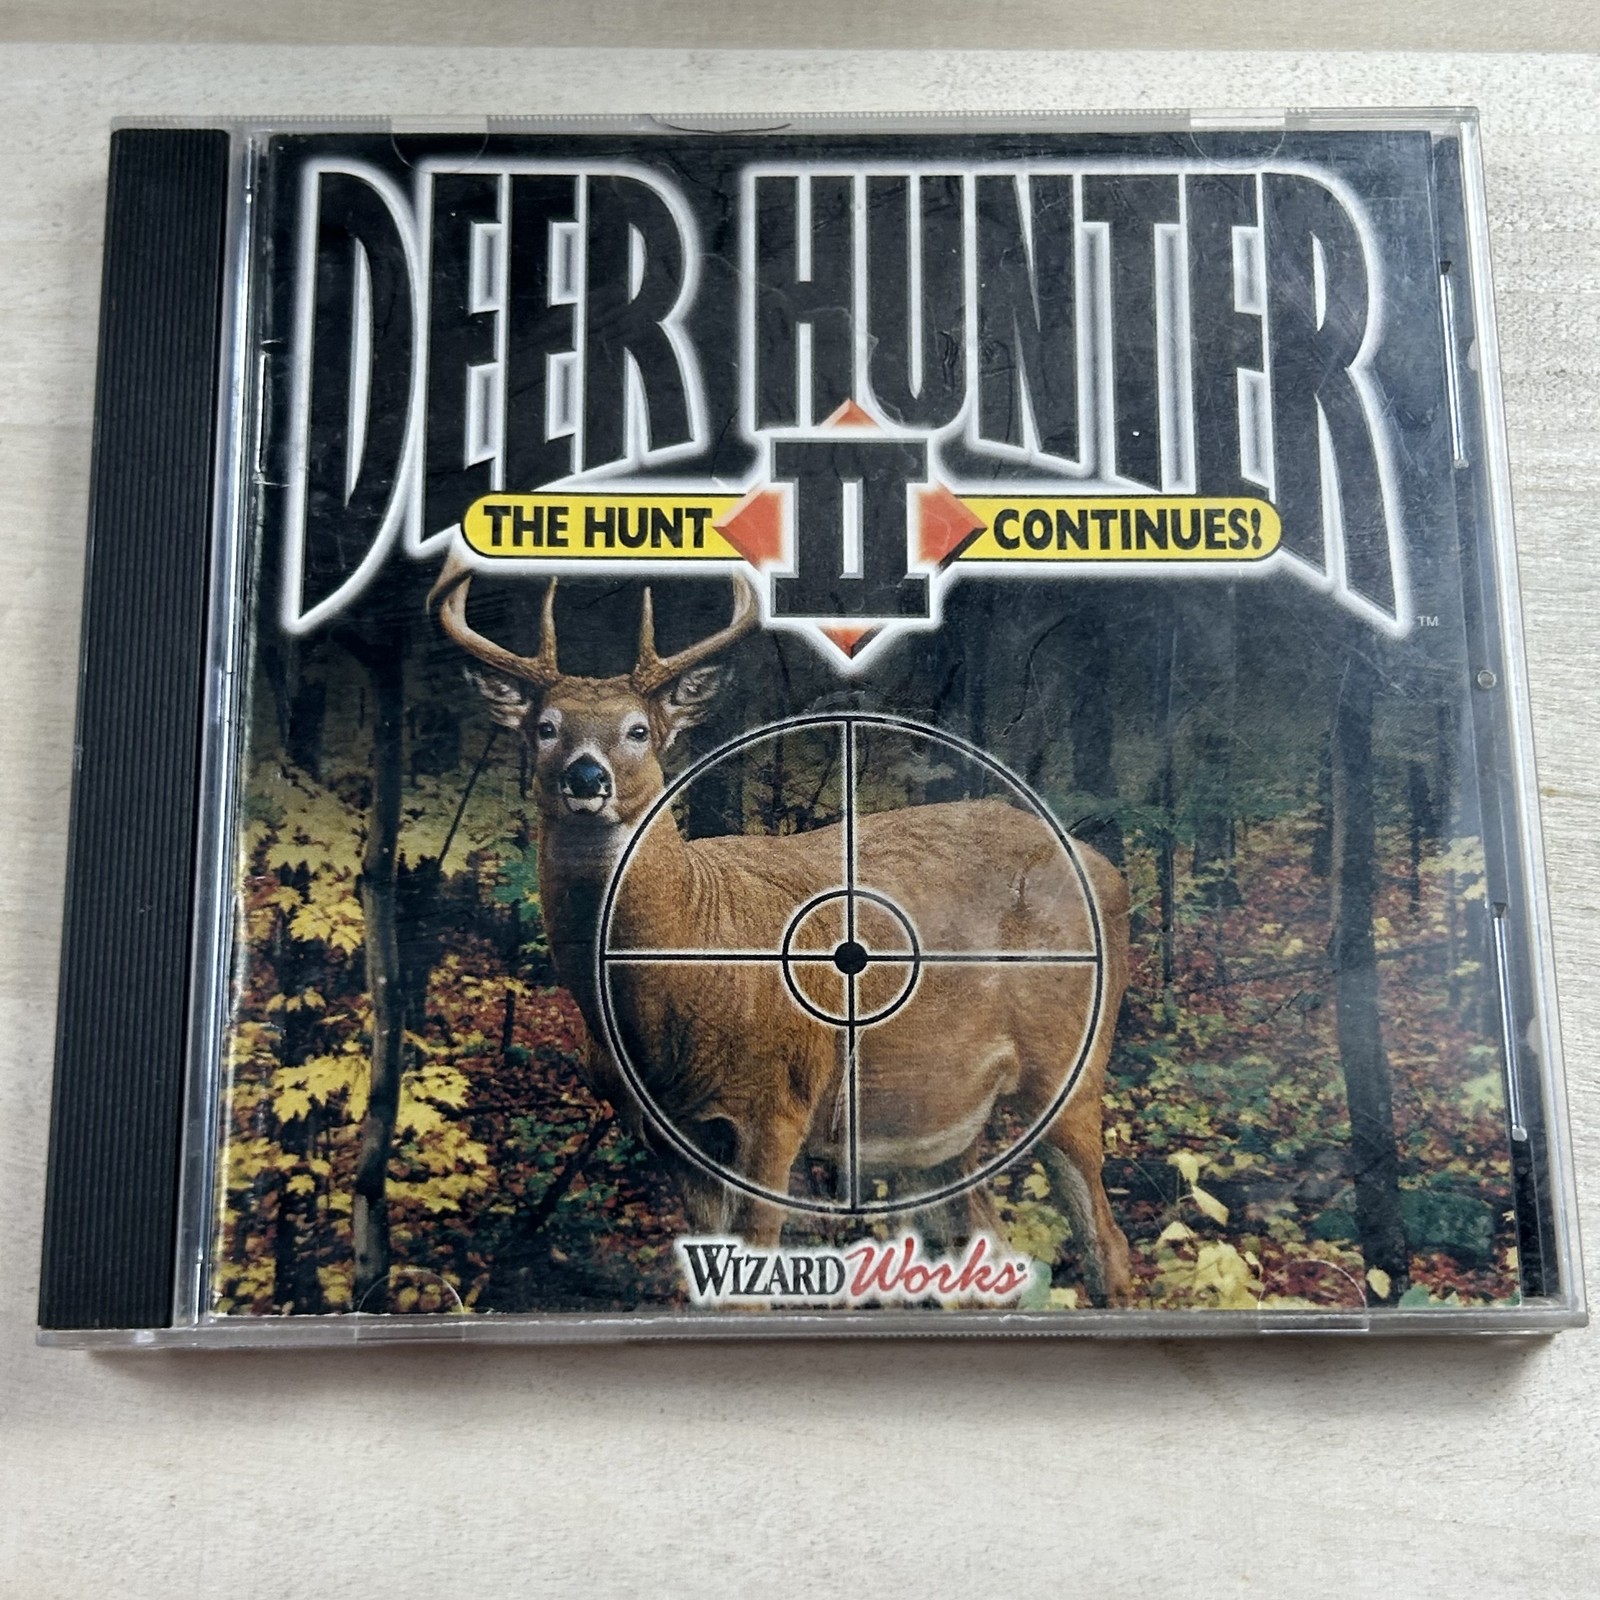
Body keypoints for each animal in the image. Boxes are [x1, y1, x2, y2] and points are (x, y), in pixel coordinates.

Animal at [431, 551, 1135, 1305]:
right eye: (546, 727)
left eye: (638, 731)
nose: (585, 777)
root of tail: (1110, 874)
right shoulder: (665, 1132)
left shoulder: (778, 1103)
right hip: (941, 1120)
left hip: (1071, 1061)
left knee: (1107, 1243)